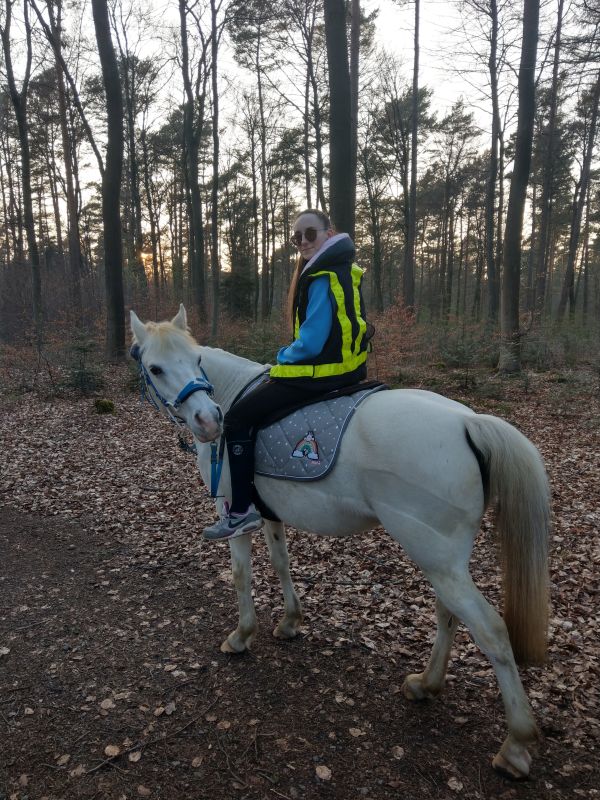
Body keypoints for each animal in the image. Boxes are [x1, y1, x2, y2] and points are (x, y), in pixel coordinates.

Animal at [130, 305, 550, 780]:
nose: (208, 421)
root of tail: (467, 422)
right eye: (157, 367)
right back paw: (426, 684)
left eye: (196, 359)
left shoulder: (234, 514)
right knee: (450, 614)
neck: (231, 392)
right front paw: (290, 622)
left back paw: (515, 745)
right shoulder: (269, 513)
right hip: (444, 560)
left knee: (492, 632)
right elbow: (281, 562)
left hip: (437, 558)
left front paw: (241, 636)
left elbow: (241, 575)